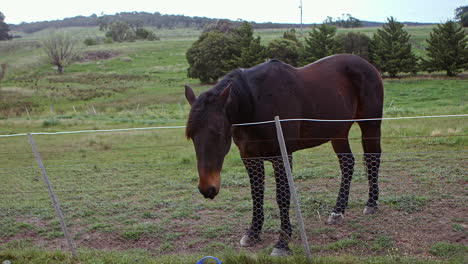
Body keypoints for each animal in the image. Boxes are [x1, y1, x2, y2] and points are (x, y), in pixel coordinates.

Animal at [185, 54, 382, 256]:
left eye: (217, 132)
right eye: (191, 136)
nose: (207, 188)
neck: (254, 103)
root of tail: (366, 64)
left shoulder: (281, 157)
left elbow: (282, 196)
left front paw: (282, 242)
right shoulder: (250, 157)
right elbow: (256, 193)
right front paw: (253, 233)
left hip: (370, 125)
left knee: (373, 159)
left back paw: (371, 203)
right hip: (339, 132)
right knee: (348, 164)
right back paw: (337, 211)